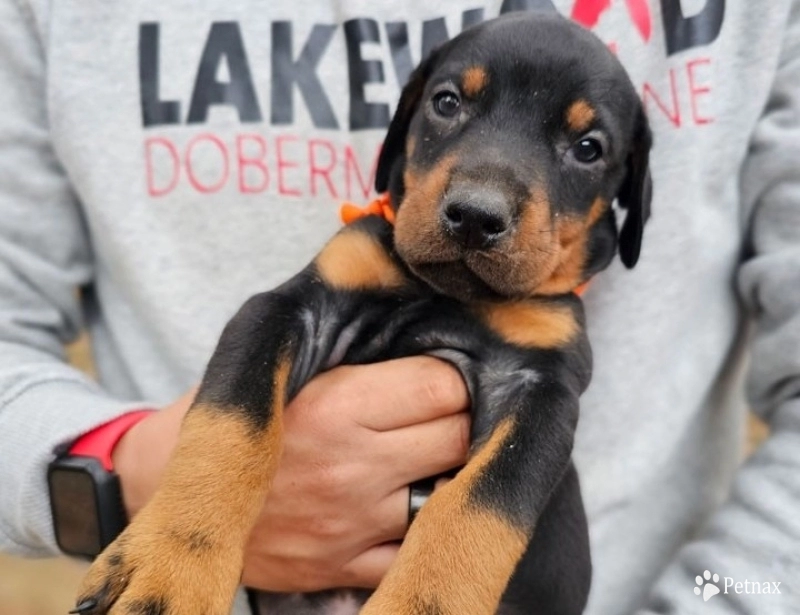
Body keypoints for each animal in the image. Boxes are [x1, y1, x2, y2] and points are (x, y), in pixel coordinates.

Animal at [73, 10, 648, 615]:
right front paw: (174, 564)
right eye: (447, 102)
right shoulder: (292, 308)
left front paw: (420, 601)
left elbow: (480, 504)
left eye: (588, 148)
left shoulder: (541, 388)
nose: (475, 215)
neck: (447, 295)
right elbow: (233, 420)